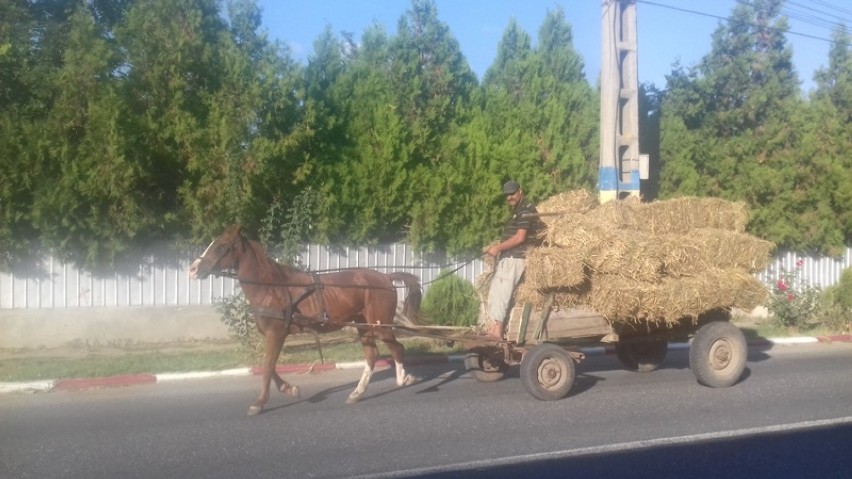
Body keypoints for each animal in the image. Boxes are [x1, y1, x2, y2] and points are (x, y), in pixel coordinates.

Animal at [189, 225, 422, 416]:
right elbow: (269, 366)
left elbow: (267, 367)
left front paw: (259, 403)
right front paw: (290, 389)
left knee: (397, 348)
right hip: (362, 325)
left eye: (221, 246)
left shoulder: (276, 334)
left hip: (380, 325)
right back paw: (358, 392)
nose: (193, 269)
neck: (272, 288)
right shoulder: (273, 335)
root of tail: (386, 278)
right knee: (372, 354)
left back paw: (403, 379)